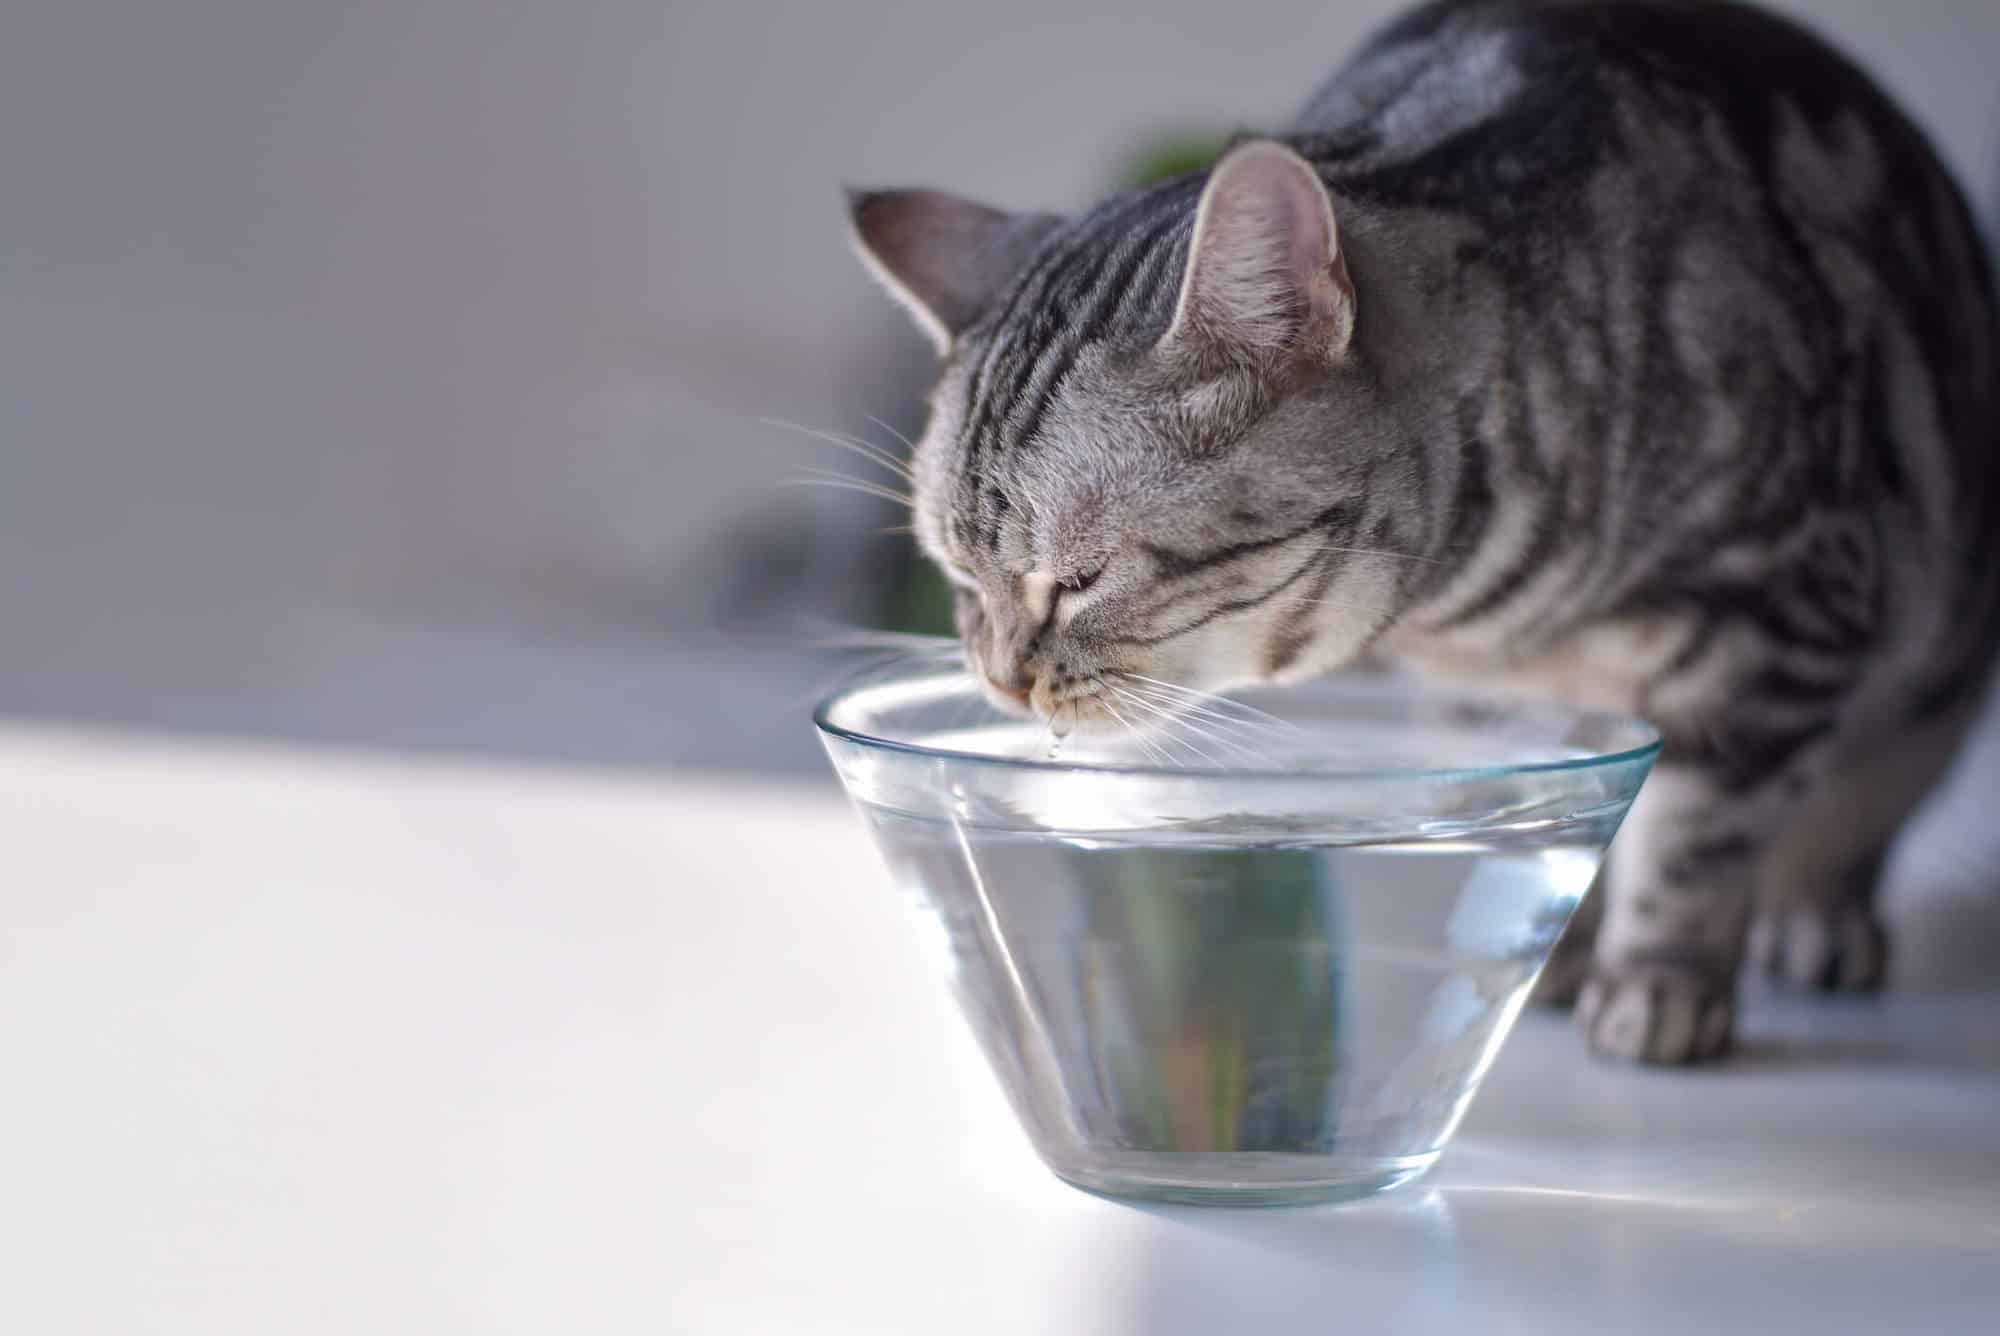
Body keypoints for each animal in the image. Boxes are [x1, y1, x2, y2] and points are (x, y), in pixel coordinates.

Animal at [844, 0, 2000, 1064]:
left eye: (1078, 578)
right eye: (957, 576)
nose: (1000, 680)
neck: (1490, 612)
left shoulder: (1782, 612)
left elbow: (1693, 840)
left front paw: (1657, 984)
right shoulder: (1497, 704)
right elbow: (1556, 804)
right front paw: (1554, 952)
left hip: (1930, 677)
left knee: (1853, 809)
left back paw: (1815, 919)